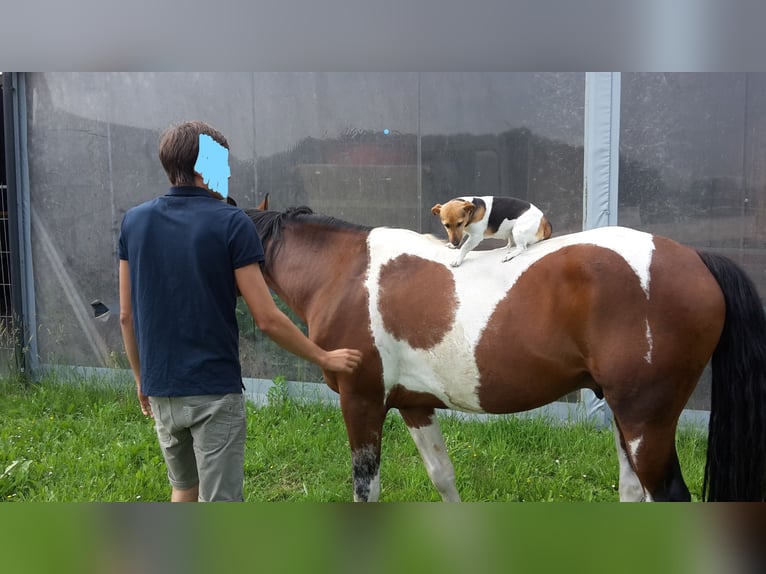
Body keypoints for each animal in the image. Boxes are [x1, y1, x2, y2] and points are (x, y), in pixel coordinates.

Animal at [246, 202, 766, 504]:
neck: (344, 273)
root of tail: (697, 258)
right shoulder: (413, 405)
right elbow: (443, 477)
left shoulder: (362, 401)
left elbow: (365, 489)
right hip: (626, 417)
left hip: (646, 420)